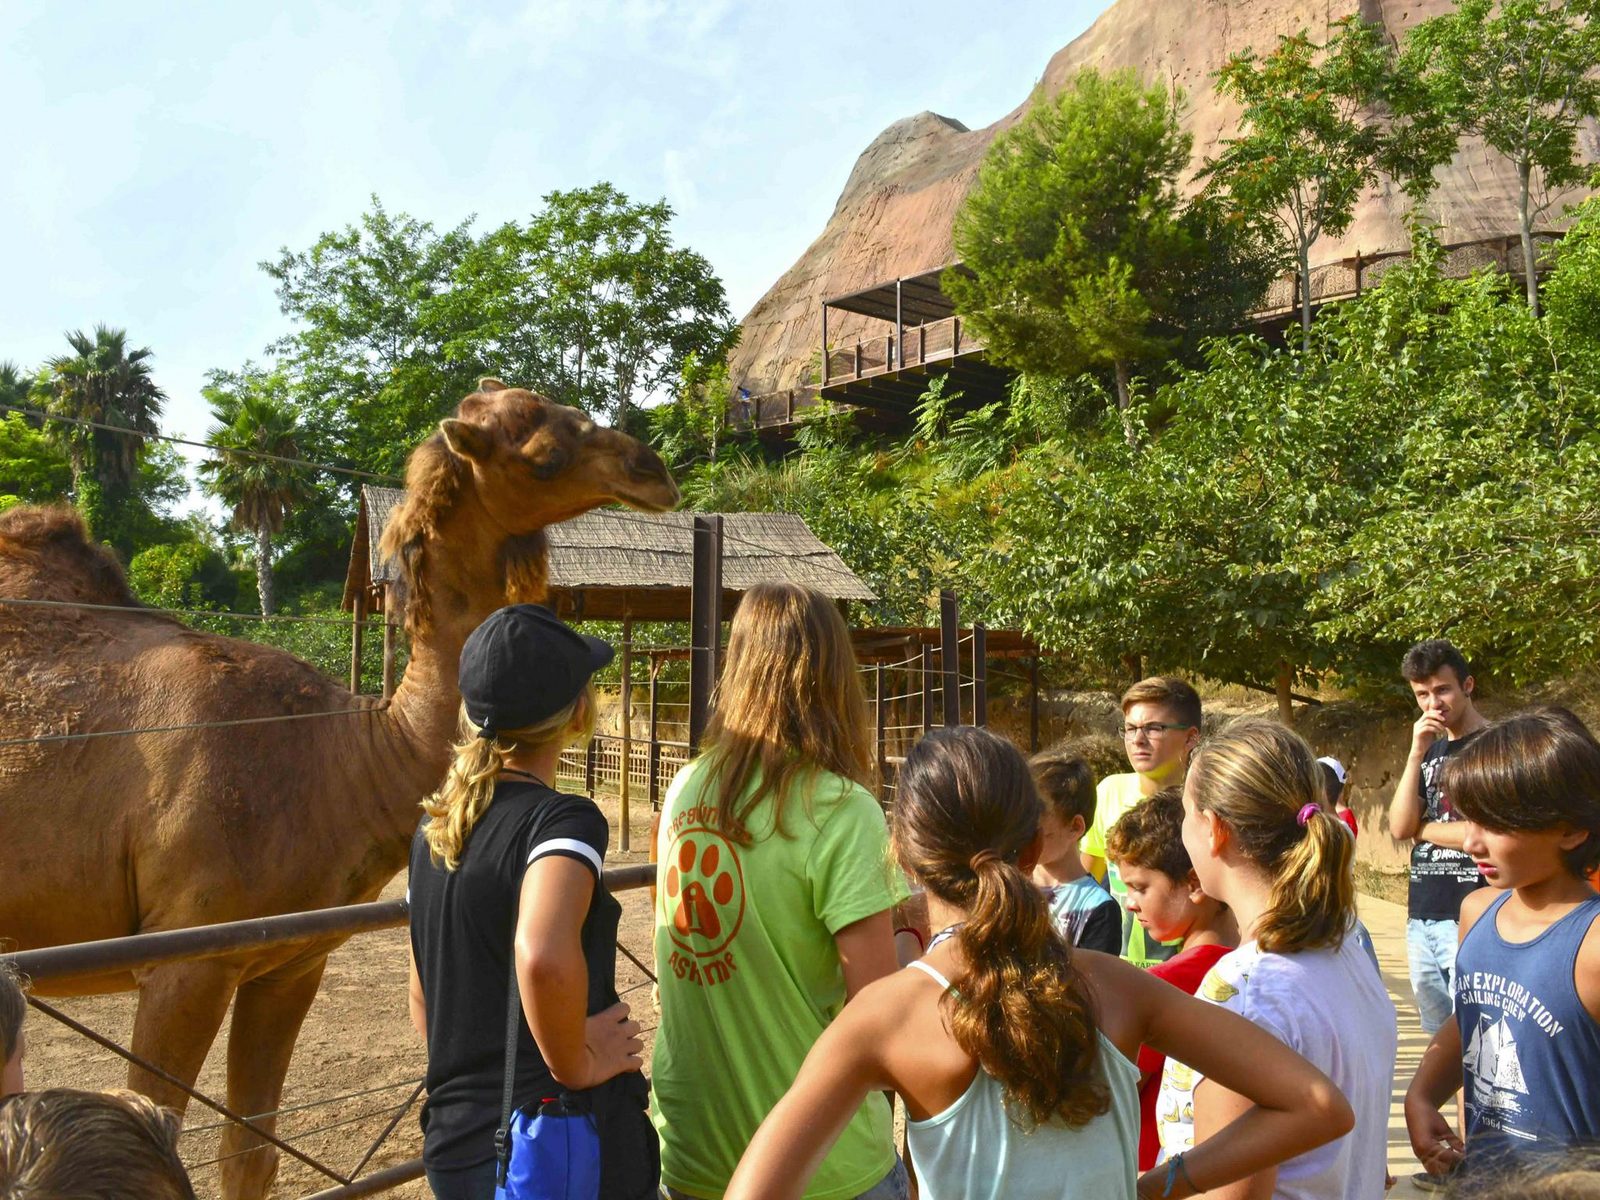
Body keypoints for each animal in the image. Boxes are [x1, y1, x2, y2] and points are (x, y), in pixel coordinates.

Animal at [0, 382, 678, 1200]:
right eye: (543, 454)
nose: (653, 469)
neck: (343, 757)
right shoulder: (184, 963)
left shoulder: (288, 964)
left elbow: (249, 1154)